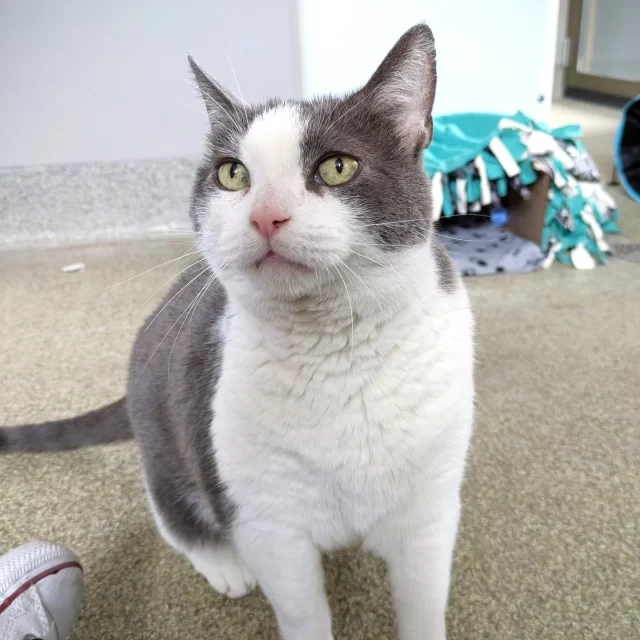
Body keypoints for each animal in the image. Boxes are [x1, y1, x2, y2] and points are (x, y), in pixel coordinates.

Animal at [1, 23, 476, 640]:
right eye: (233, 174)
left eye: (337, 167)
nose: (265, 215)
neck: (336, 350)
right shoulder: (267, 523)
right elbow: (302, 613)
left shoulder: (430, 508)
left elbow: (422, 602)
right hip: (167, 442)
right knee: (174, 516)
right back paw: (225, 566)